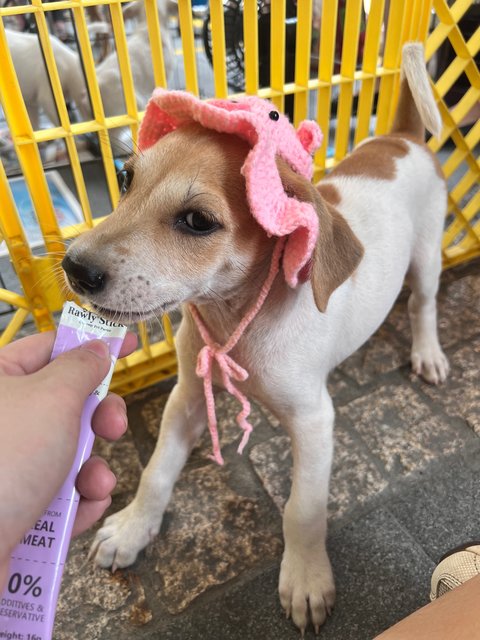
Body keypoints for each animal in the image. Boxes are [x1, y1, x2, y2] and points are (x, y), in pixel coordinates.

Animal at [62, 45, 448, 636]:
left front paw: (306, 577)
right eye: (125, 179)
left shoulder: (314, 422)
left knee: (422, 304)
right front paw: (132, 529)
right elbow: (156, 472)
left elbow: (302, 509)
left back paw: (428, 352)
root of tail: (402, 140)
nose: (74, 268)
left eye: (198, 221)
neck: (237, 321)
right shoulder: (187, 397)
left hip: (427, 257)